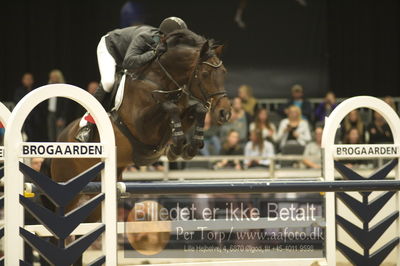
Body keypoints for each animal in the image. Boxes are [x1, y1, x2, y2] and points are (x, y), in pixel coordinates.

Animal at [50, 30, 231, 218]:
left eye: (224, 72)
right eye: (205, 74)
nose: (224, 113)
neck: (162, 80)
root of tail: (58, 139)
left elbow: (198, 109)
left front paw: (187, 148)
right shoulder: (142, 126)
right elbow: (169, 107)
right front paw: (177, 146)